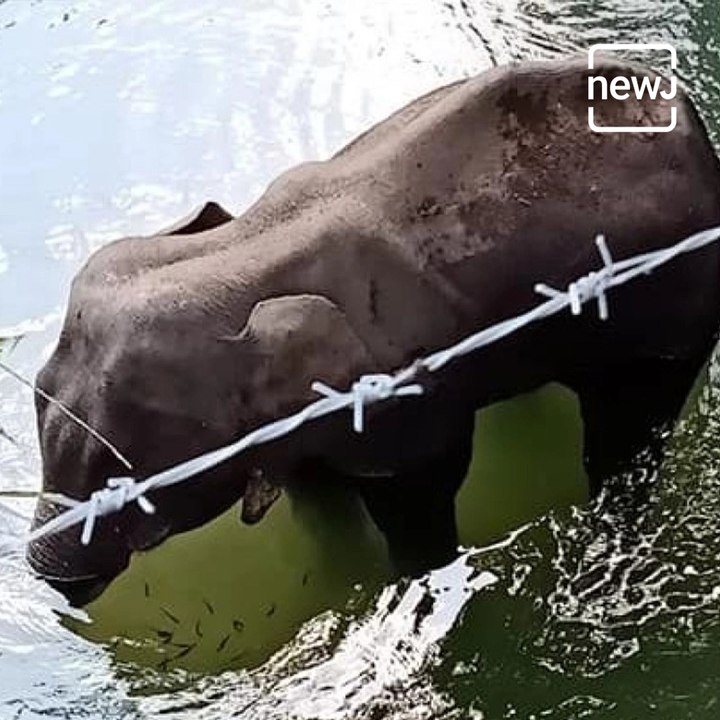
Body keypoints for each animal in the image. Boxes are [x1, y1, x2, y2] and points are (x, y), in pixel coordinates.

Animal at [28, 56, 720, 606]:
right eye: (36, 392)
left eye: (133, 485)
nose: (58, 587)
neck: (246, 250)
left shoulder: (403, 400)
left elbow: (420, 494)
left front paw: (410, 581)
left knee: (627, 430)